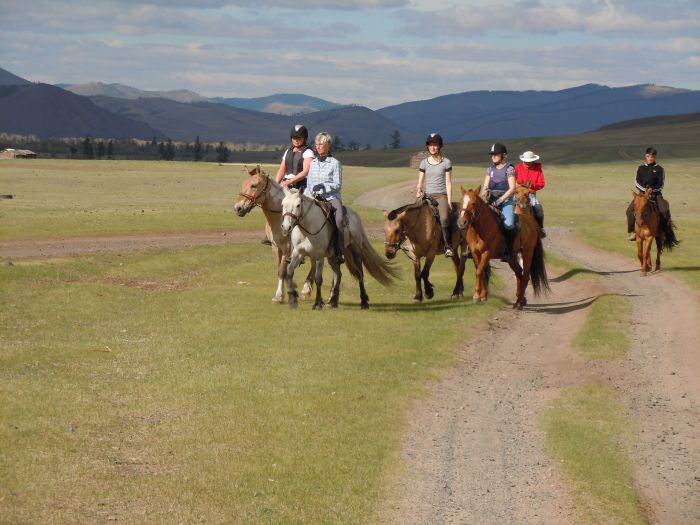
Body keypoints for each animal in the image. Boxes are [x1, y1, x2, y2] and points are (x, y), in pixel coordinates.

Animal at [232, 164, 314, 302]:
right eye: (243, 184)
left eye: (254, 185)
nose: (238, 208)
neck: (280, 216)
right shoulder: (276, 247)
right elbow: (280, 270)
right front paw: (289, 290)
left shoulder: (287, 248)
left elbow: (282, 271)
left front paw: (279, 296)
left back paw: (306, 289)